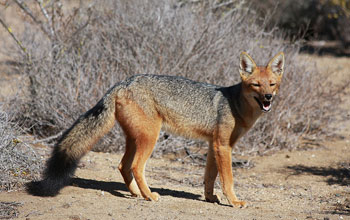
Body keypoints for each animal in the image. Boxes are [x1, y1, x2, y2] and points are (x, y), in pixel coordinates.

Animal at [26, 52, 284, 208]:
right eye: (255, 85)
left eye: (272, 84)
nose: (268, 98)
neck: (235, 104)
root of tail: (122, 83)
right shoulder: (223, 146)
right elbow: (227, 179)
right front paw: (234, 202)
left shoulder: (214, 145)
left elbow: (209, 177)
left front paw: (210, 197)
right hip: (150, 138)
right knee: (135, 166)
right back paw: (149, 195)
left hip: (135, 138)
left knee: (122, 166)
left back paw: (136, 193)